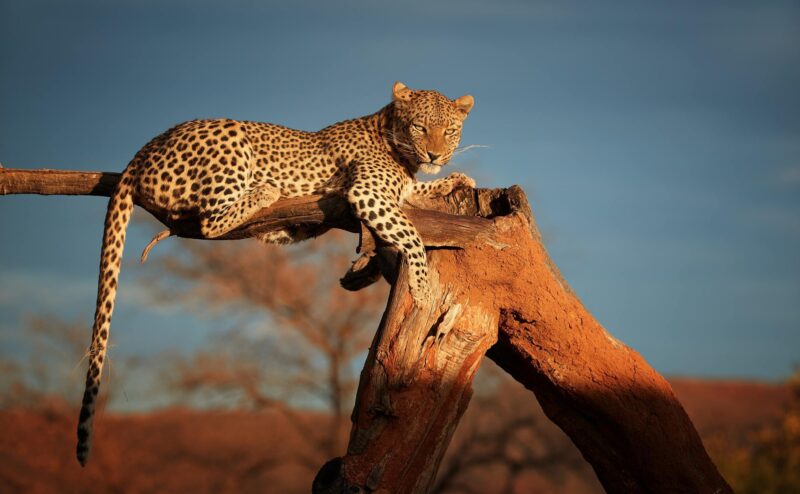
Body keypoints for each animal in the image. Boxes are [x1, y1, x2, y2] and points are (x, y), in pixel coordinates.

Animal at [75, 81, 476, 465]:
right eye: (420, 127)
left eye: (450, 130)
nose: (435, 155)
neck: (396, 142)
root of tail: (146, 148)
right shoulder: (368, 193)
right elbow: (411, 234)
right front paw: (422, 288)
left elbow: (416, 194)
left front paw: (454, 181)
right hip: (231, 140)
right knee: (209, 222)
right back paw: (265, 190)